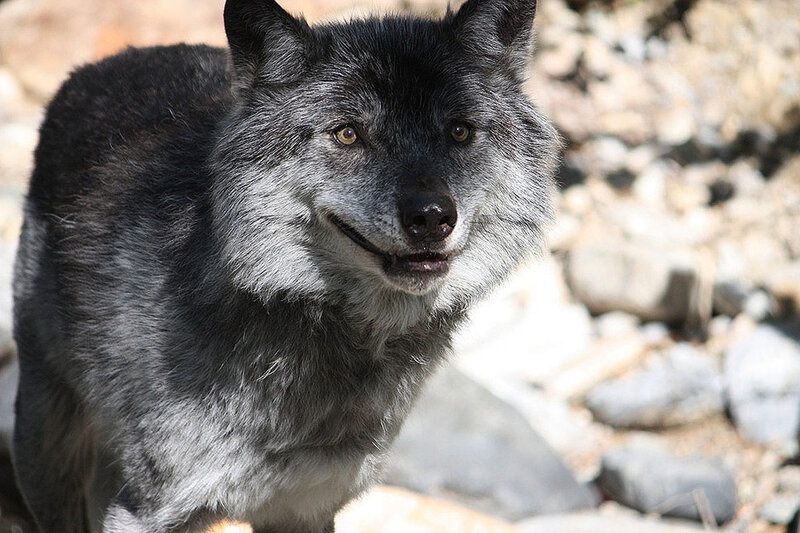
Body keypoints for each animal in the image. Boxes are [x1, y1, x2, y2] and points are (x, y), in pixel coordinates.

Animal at [11, 0, 558, 530]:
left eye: (460, 131)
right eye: (348, 134)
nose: (431, 216)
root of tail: (102, 65)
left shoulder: (306, 508)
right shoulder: (146, 509)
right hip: (44, 451)